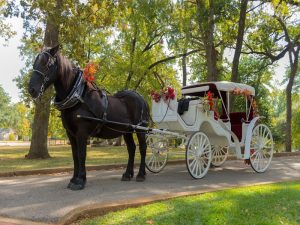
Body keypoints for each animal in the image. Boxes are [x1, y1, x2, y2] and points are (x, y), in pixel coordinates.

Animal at [28, 45, 150, 190]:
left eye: (47, 64)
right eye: (34, 63)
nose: (31, 89)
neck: (79, 96)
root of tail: (141, 98)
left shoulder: (82, 132)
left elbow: (82, 154)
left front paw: (80, 180)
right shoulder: (71, 134)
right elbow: (75, 155)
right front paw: (74, 179)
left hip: (140, 129)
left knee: (142, 148)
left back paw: (141, 174)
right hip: (126, 131)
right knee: (131, 149)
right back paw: (127, 174)